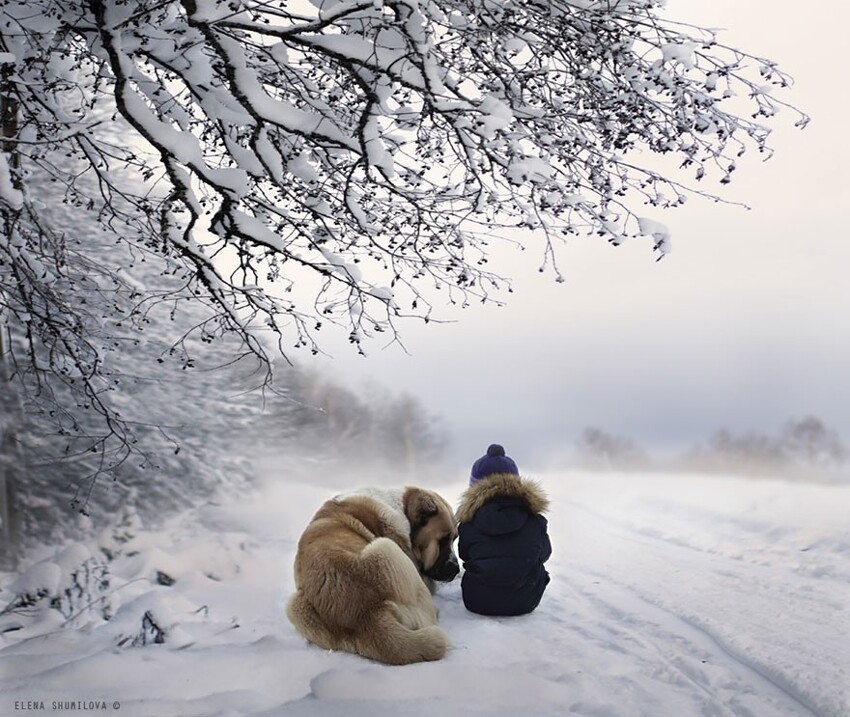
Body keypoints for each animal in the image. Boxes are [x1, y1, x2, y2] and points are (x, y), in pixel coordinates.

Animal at [284, 484, 458, 664]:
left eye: (454, 539)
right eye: (443, 540)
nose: (457, 570)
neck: (401, 508)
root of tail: (368, 613)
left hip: (294, 606)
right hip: (385, 546)